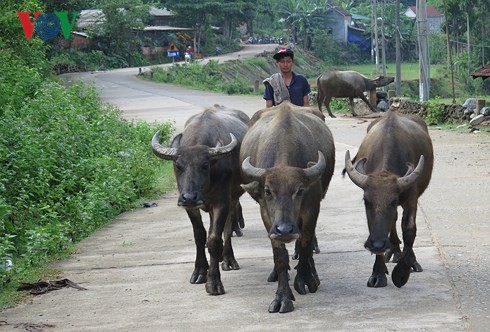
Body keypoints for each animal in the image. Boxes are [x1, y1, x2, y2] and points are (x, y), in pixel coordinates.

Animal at [152, 104, 249, 296]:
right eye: (178, 166)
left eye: (204, 166)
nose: (189, 197)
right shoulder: (190, 207)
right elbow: (199, 235)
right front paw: (199, 272)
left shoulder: (221, 203)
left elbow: (214, 239)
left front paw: (214, 282)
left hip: (233, 198)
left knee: (227, 228)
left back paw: (228, 259)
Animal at [239, 100, 334, 312]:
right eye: (268, 191)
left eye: (300, 190)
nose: (284, 230)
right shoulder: (267, 215)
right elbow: (280, 255)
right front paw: (282, 297)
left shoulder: (312, 209)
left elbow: (306, 243)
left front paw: (305, 279)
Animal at [342, 110, 434, 286]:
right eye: (366, 202)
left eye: (393, 202)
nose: (377, 244)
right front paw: (378, 273)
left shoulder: (411, 200)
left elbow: (409, 231)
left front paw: (402, 273)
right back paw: (394, 251)